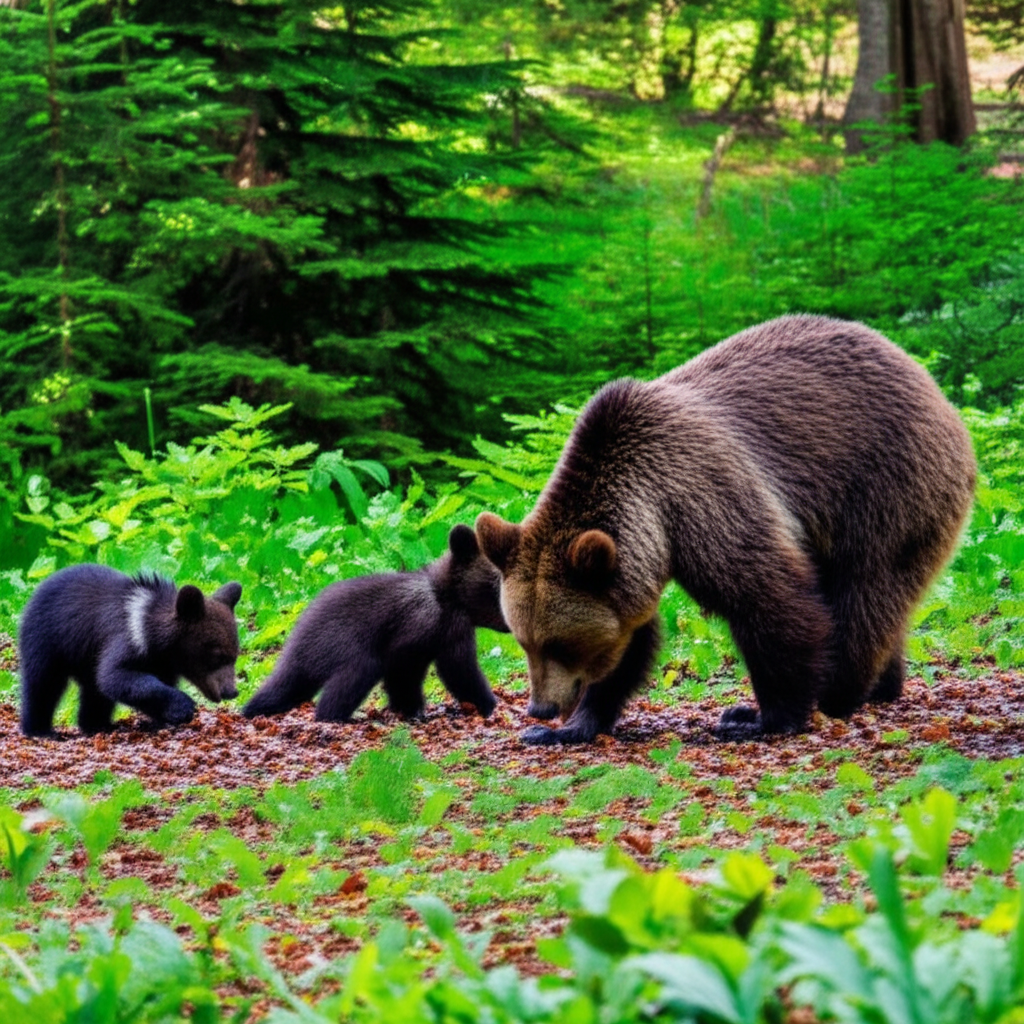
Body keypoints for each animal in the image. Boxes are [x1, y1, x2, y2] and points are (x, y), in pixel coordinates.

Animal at [19, 564, 243, 737]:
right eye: (218, 656)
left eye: (235, 655)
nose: (231, 691)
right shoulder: (127, 639)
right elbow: (116, 676)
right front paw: (183, 705)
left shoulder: (162, 664)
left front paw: (162, 718)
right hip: (47, 639)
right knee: (43, 683)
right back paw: (39, 729)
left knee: (93, 692)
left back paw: (97, 724)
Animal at [241, 524, 508, 723]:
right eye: (497, 586)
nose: (510, 624)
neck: (447, 598)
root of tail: (297, 632)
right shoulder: (425, 629)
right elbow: (455, 670)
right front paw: (486, 703)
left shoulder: (442, 635)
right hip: (342, 643)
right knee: (354, 674)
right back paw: (336, 716)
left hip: (302, 662)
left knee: (282, 688)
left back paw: (253, 708)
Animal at [476, 314, 977, 745]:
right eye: (523, 640)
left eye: (560, 644)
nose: (540, 708)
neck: (650, 506)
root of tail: (930, 385)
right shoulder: (635, 556)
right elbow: (631, 639)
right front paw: (569, 727)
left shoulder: (703, 496)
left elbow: (768, 598)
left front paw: (763, 717)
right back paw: (883, 685)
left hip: (886, 490)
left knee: (865, 591)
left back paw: (839, 693)